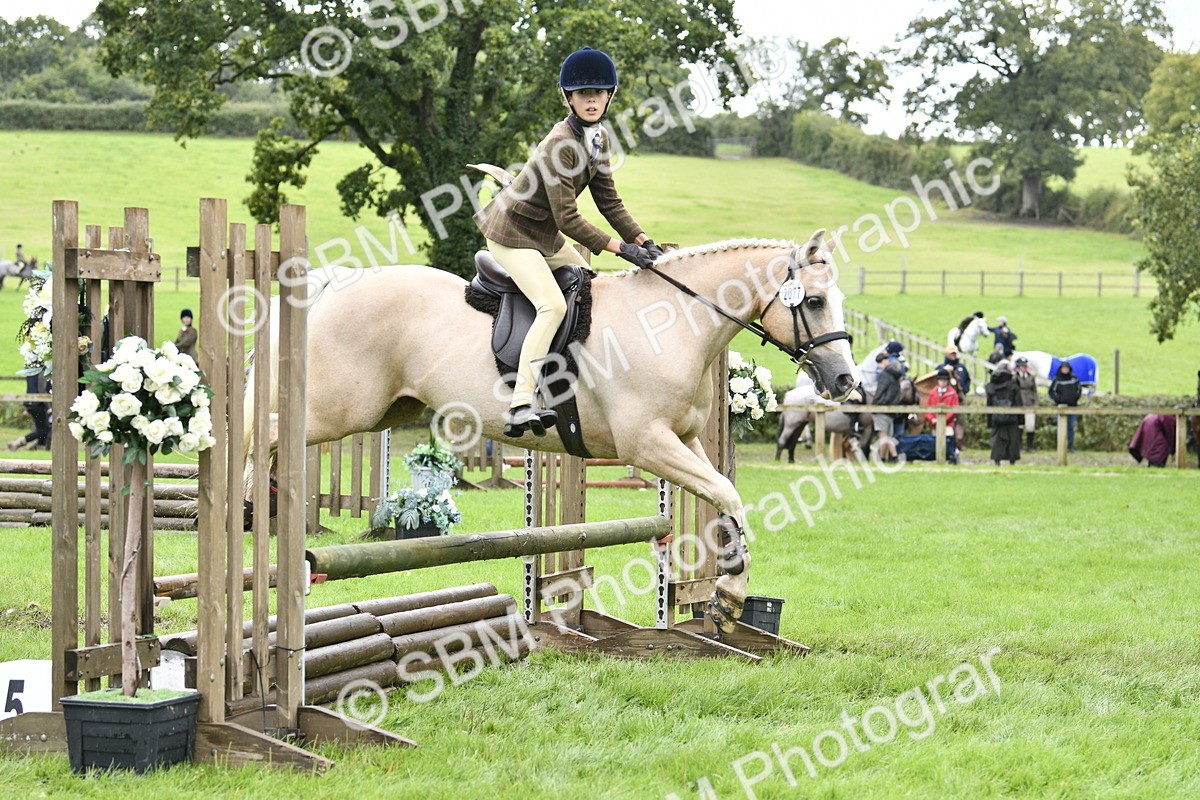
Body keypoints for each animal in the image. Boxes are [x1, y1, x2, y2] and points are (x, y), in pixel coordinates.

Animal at [247, 230, 859, 633]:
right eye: (815, 301)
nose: (846, 381)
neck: (672, 323)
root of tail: (333, 286)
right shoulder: (648, 444)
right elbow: (727, 493)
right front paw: (729, 596)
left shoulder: (683, 441)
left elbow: (724, 500)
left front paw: (726, 600)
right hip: (341, 409)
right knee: (266, 429)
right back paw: (255, 501)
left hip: (387, 411)